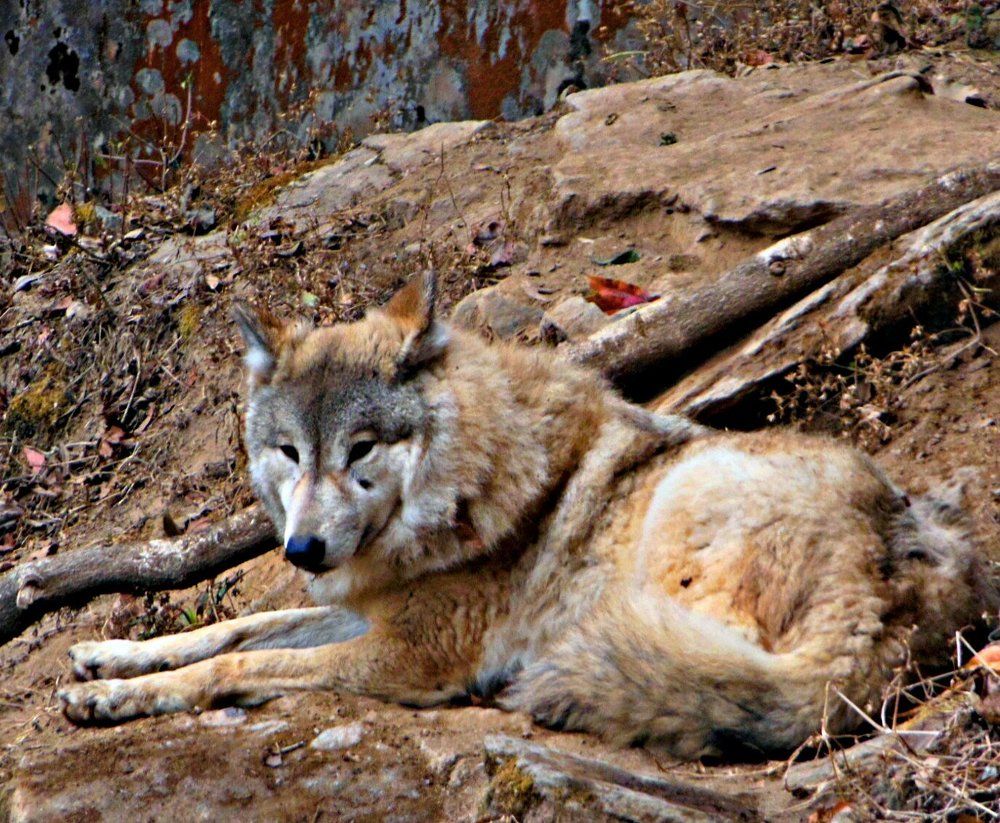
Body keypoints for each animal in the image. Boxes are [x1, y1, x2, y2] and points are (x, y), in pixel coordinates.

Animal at [59, 272, 996, 759]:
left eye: (361, 448)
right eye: (290, 451)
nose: (304, 547)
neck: (467, 490)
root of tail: (924, 577)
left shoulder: (410, 653)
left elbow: (236, 664)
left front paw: (120, 697)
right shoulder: (363, 608)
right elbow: (234, 629)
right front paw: (110, 659)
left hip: (685, 510)